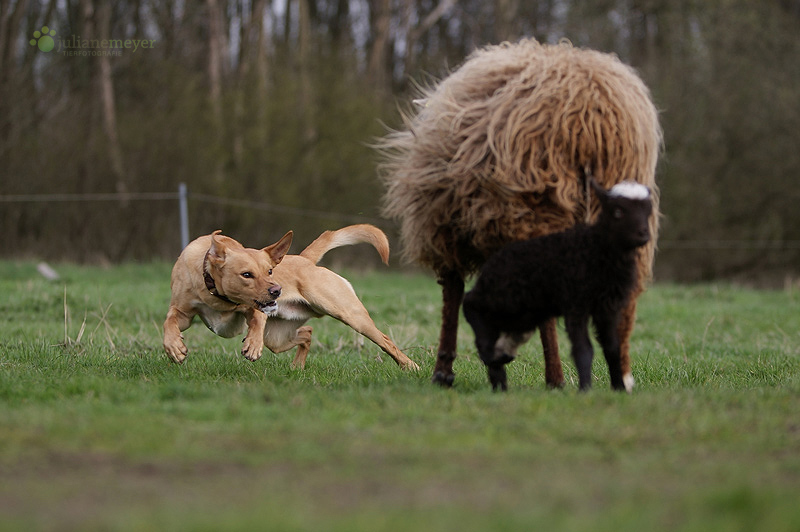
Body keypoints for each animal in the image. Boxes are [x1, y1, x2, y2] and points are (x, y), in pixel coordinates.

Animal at [162, 224, 418, 370]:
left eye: (269, 271)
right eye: (246, 274)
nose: (277, 290)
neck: (216, 293)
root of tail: (304, 259)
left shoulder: (255, 309)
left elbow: (257, 318)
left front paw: (252, 345)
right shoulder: (184, 312)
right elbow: (170, 321)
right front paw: (174, 347)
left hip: (350, 314)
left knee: (385, 340)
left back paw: (411, 367)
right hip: (278, 337)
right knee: (307, 332)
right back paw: (296, 367)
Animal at [466, 179, 652, 390]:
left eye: (648, 210)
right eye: (618, 211)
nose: (643, 235)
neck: (597, 247)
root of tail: (491, 262)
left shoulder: (608, 308)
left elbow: (612, 348)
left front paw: (619, 388)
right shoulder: (576, 303)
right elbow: (583, 349)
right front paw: (585, 389)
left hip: (524, 311)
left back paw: (498, 376)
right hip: (507, 299)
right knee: (470, 302)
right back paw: (488, 353)